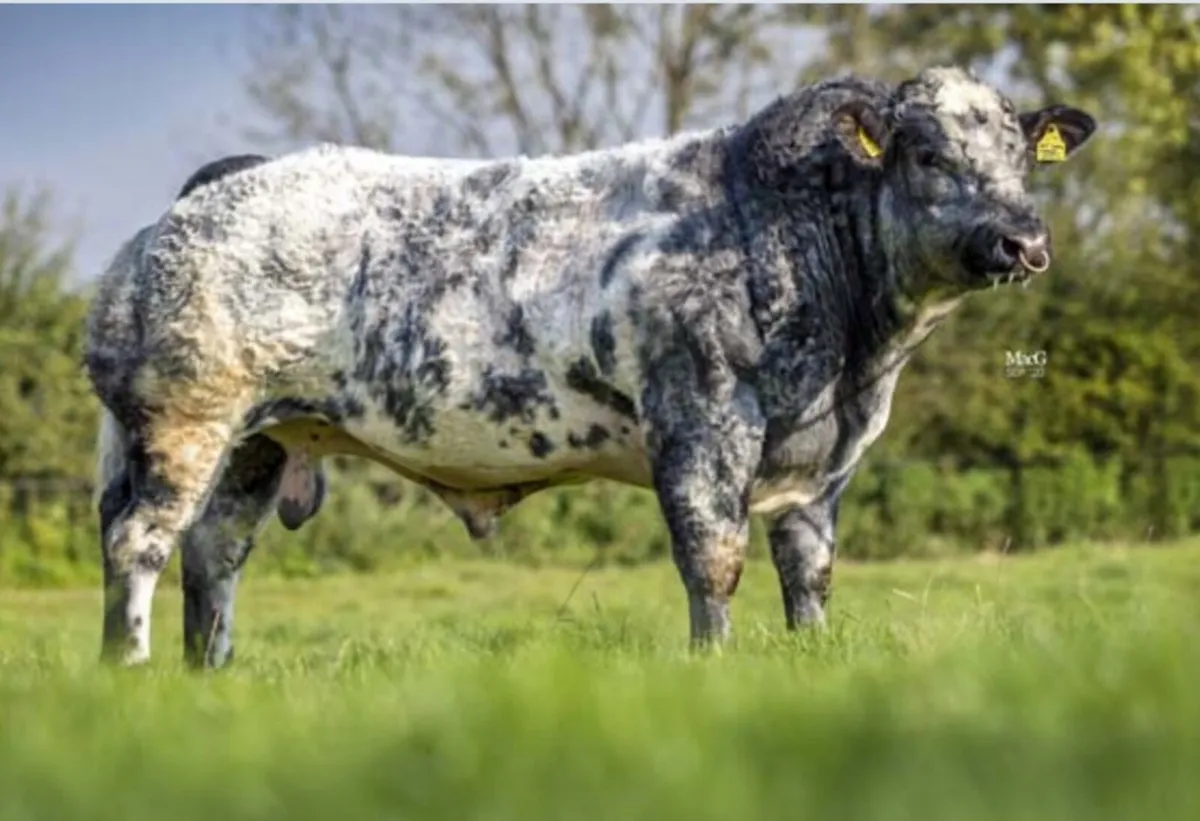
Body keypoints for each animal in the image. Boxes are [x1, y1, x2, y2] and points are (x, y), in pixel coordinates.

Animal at [85, 65, 1096, 668]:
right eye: (927, 153)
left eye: (1022, 156)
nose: (1024, 239)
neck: (853, 363)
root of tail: (220, 183)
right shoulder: (701, 422)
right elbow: (713, 560)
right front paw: (713, 666)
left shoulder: (820, 468)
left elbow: (808, 573)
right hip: (183, 420)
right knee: (140, 542)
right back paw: (130, 670)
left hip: (257, 441)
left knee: (214, 553)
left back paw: (207, 676)